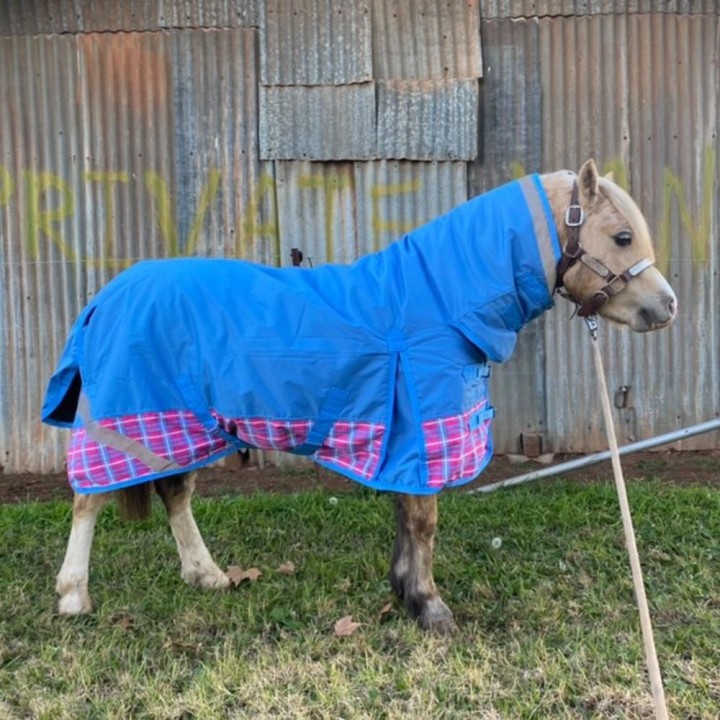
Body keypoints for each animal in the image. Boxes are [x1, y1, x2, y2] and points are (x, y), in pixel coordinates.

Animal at [44, 160, 676, 634]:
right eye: (622, 237)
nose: (666, 306)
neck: (436, 302)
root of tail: (106, 298)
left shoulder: (404, 438)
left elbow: (405, 514)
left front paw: (405, 592)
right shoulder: (422, 429)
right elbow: (423, 520)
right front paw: (431, 609)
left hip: (182, 427)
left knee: (175, 495)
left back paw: (208, 575)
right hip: (124, 421)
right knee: (89, 499)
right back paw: (74, 595)